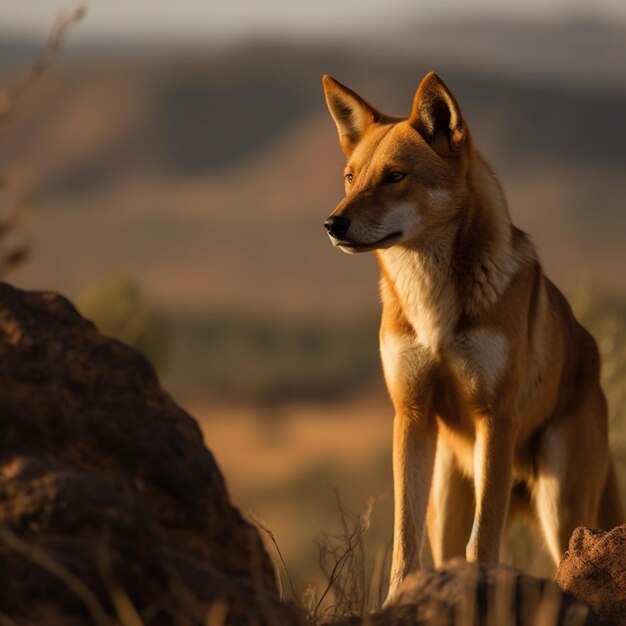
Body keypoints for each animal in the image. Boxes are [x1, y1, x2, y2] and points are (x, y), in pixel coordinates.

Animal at [320, 72, 620, 600]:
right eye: (350, 178)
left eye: (395, 176)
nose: (333, 224)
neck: (434, 308)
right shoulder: (411, 415)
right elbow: (404, 538)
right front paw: (397, 599)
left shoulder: (495, 417)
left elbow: (485, 541)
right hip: (448, 497)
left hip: (561, 510)